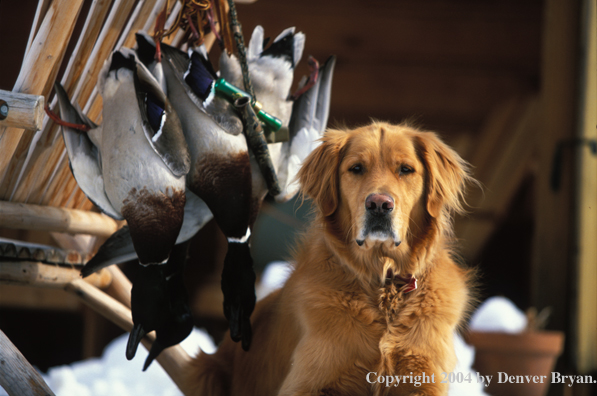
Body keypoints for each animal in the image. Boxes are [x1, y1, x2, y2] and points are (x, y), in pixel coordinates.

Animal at [186, 122, 474, 394]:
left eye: (405, 169)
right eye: (356, 168)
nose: (379, 205)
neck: (383, 284)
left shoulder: (424, 378)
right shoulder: (308, 381)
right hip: (206, 373)